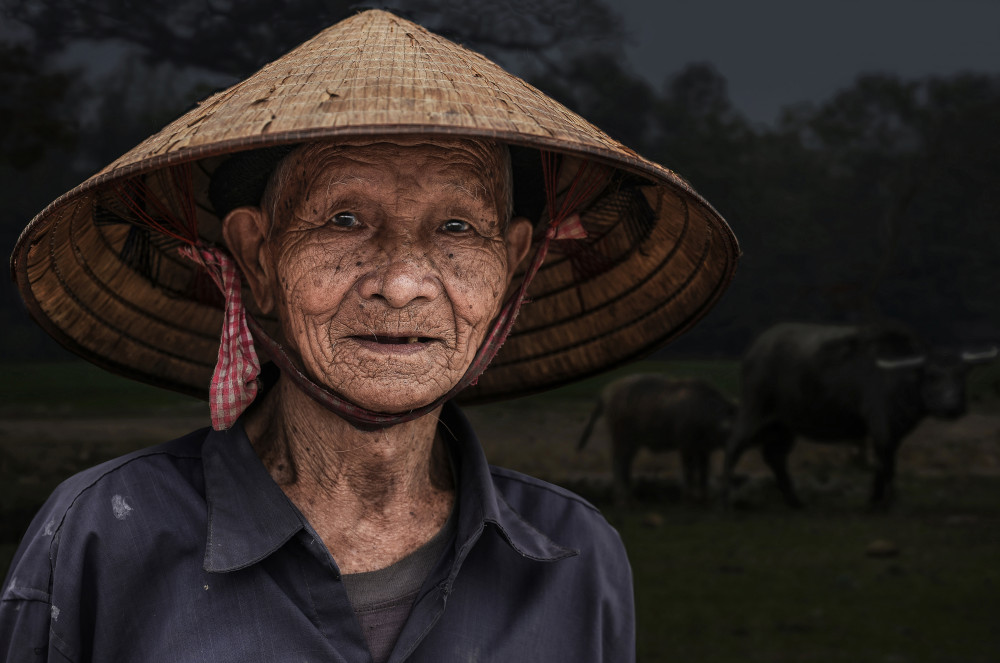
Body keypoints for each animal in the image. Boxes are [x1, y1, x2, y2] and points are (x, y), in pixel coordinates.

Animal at [580, 374, 736, 504]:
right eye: (729, 431)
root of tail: (607, 393)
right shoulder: (686, 446)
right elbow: (689, 470)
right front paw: (689, 498)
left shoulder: (703, 449)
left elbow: (704, 471)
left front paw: (704, 497)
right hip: (622, 439)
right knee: (618, 463)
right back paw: (623, 498)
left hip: (632, 442)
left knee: (625, 464)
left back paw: (629, 496)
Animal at [724, 322, 996, 508]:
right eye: (932, 376)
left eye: (962, 374)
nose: (953, 407)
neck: (903, 381)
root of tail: (754, 350)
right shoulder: (881, 424)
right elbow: (885, 463)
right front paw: (884, 502)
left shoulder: (895, 431)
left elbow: (888, 463)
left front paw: (878, 499)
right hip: (753, 411)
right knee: (734, 448)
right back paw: (726, 497)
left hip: (784, 426)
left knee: (775, 458)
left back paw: (795, 501)